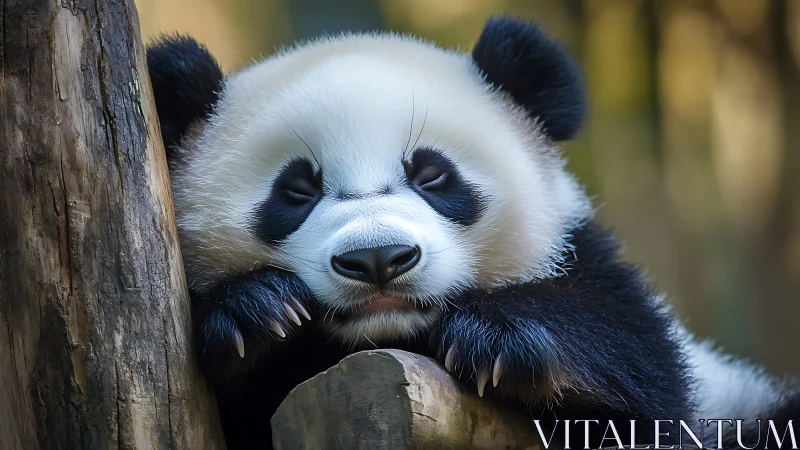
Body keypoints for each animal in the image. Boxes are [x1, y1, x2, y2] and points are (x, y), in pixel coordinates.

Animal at [146, 16, 799, 449]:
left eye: (432, 174)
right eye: (298, 190)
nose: (379, 258)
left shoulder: (595, 272)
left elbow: (641, 375)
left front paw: (500, 341)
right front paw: (258, 317)